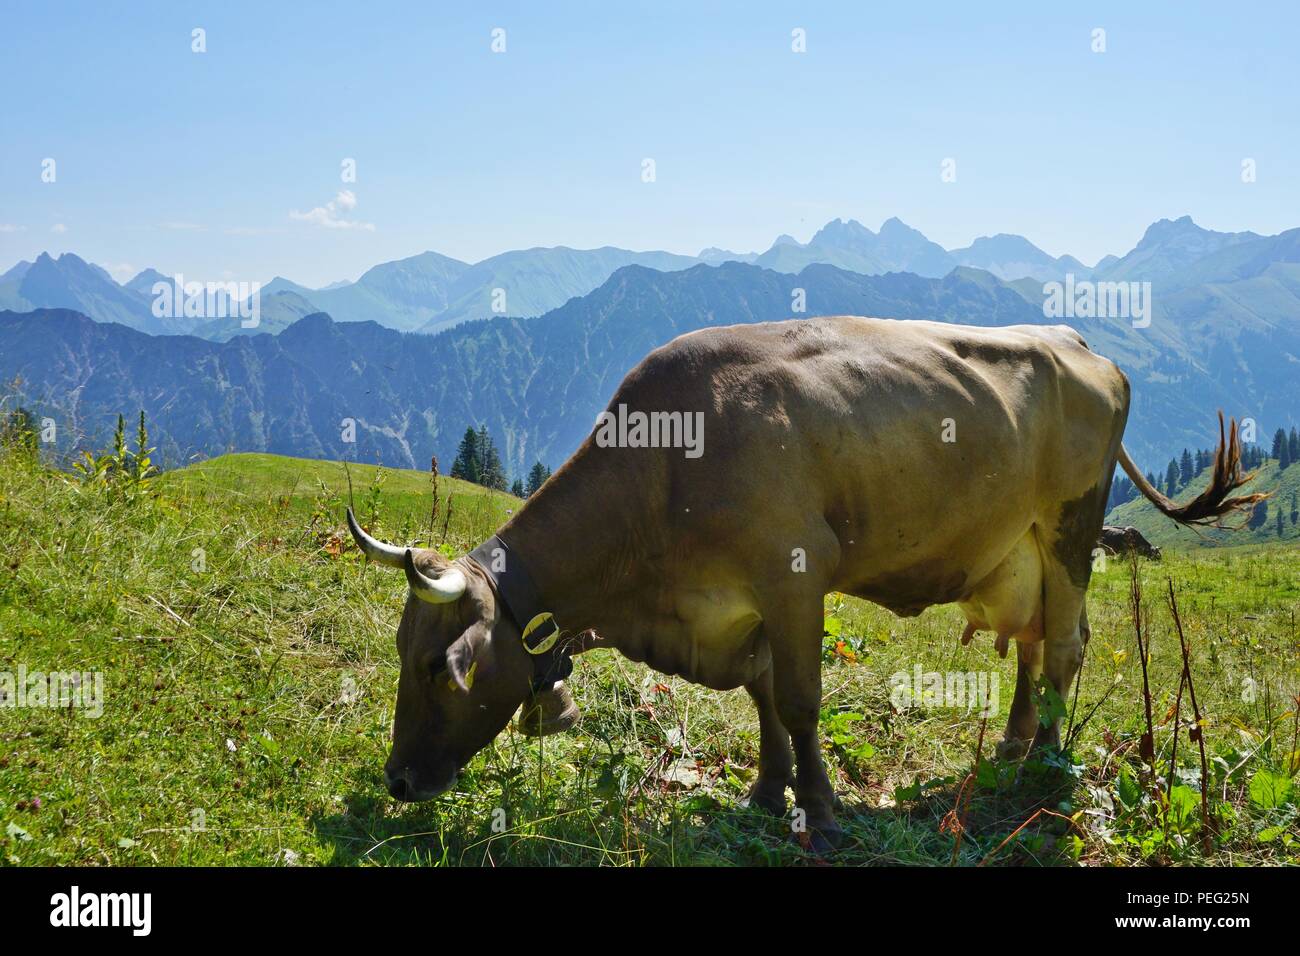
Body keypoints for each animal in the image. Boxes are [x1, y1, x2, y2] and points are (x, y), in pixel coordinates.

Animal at [345, 316, 1262, 850]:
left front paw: (817, 809)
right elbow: (762, 696)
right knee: (1035, 642)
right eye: (400, 652)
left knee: (1069, 645)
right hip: (1021, 549)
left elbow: (797, 698)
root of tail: (1082, 346)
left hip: (1070, 527)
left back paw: (1048, 762)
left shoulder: (794, 576)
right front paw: (763, 790)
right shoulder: (736, 609)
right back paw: (1011, 745)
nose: (397, 782)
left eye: (436, 668)